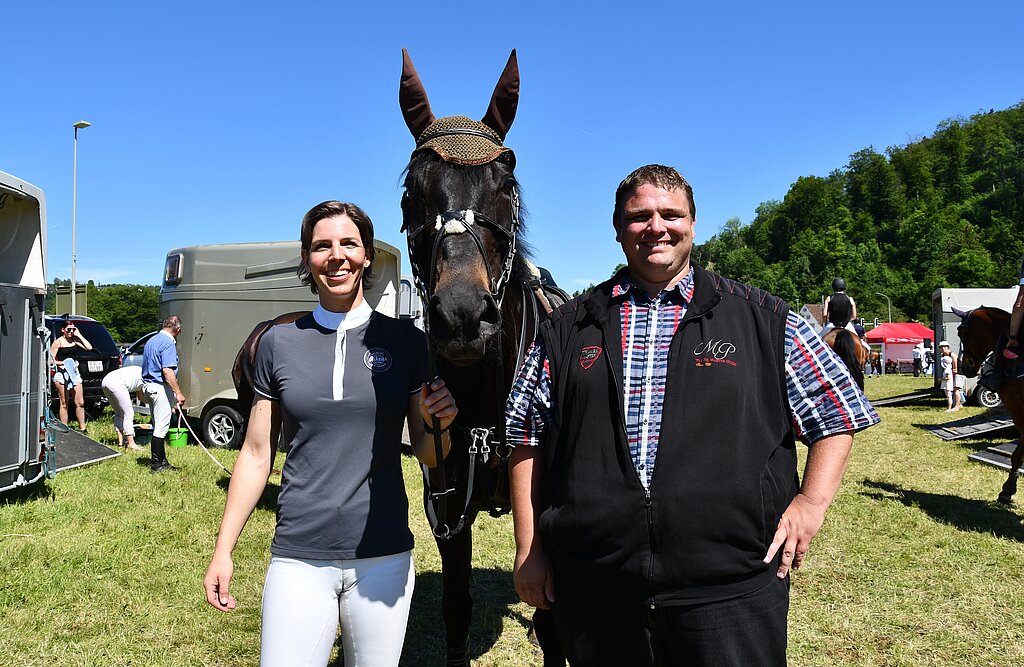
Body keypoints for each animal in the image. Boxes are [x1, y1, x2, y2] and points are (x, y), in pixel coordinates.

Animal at [397, 49, 565, 663]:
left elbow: (552, 619)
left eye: (506, 181)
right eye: (411, 192)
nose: (463, 316)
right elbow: (456, 608)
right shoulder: (449, 508)